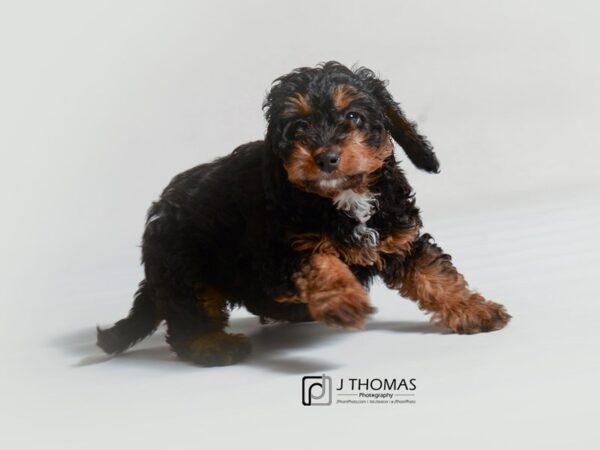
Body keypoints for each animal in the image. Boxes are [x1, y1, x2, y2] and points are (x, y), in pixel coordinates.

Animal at [98, 60, 510, 366]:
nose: (326, 158)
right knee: (188, 321)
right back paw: (214, 345)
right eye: (298, 126)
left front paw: (474, 308)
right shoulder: (278, 251)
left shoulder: (400, 239)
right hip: (186, 269)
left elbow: (436, 274)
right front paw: (344, 300)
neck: (344, 197)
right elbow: (321, 263)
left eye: (354, 117)